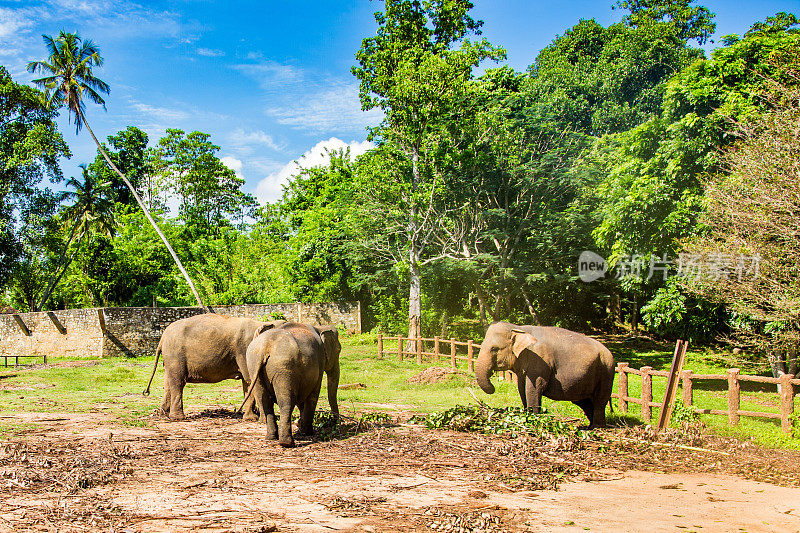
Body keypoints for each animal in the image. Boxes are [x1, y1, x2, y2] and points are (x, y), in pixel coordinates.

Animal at [145, 312, 286, 420]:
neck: (262, 323)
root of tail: (163, 336)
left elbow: (247, 383)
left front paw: (250, 418)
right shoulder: (244, 349)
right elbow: (250, 380)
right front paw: (256, 419)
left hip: (169, 358)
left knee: (168, 383)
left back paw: (163, 415)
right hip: (175, 354)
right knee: (178, 382)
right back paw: (178, 417)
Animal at [476, 320, 620, 428]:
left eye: (494, 349)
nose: (493, 386)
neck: (518, 328)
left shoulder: (540, 361)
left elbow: (533, 389)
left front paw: (534, 420)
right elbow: (522, 389)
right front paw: (526, 416)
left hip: (606, 372)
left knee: (600, 401)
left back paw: (597, 428)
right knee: (585, 402)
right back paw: (590, 426)